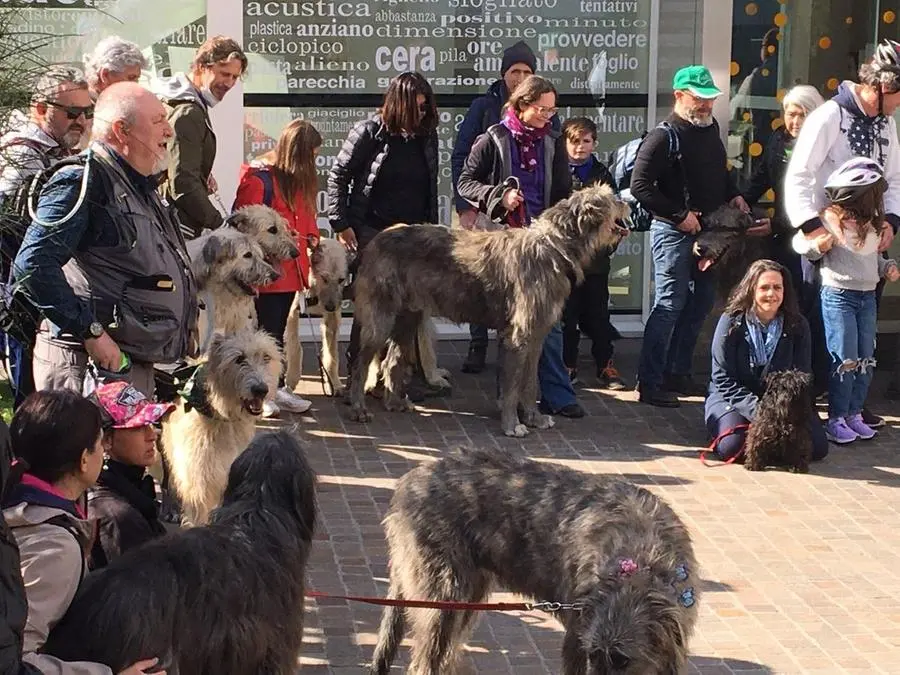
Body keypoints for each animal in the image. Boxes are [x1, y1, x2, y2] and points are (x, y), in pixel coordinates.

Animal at [344, 185, 624, 438]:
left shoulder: (537, 335)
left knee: (392, 359)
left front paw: (534, 418)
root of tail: (374, 242)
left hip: (408, 315)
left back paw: (395, 402)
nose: (626, 200)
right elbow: (512, 385)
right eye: (610, 198)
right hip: (381, 315)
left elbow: (530, 382)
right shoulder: (518, 336)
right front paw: (513, 425)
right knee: (360, 362)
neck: (552, 247)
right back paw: (358, 408)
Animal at [370, 448, 700, 675]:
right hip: (444, 596)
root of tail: (409, 481)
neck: (641, 563)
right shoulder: (578, 636)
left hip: (467, 594)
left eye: (622, 660)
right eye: (594, 655)